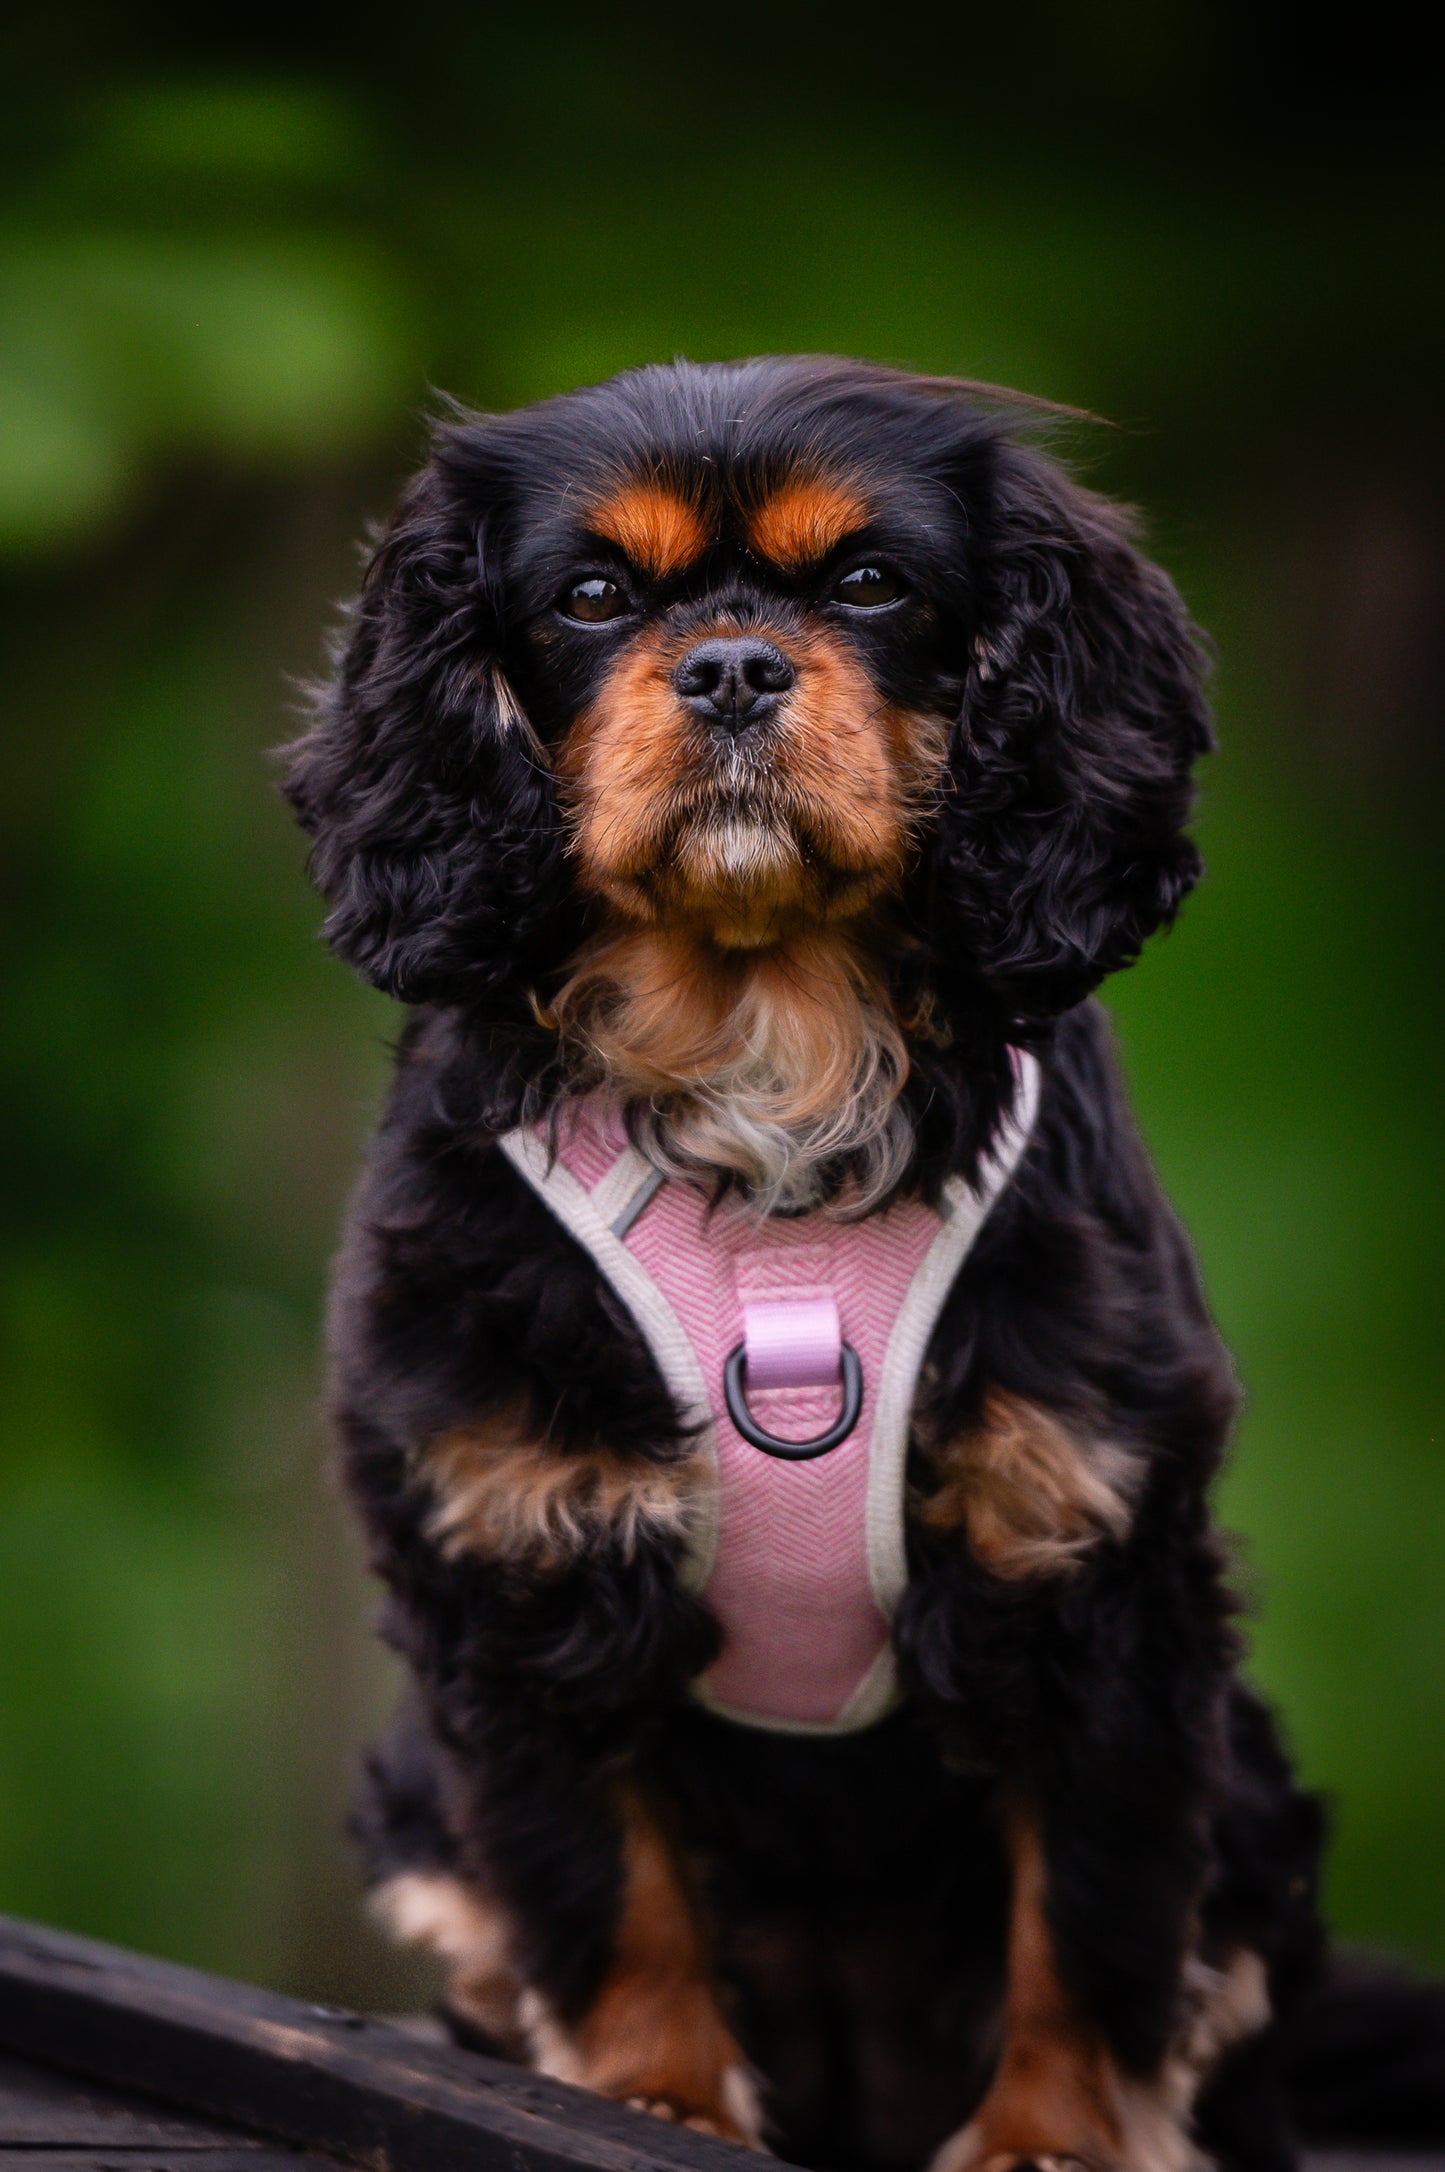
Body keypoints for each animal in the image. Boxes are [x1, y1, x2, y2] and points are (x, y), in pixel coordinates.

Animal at [282, 364, 1364, 2172]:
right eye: (593, 596)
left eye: (868, 582)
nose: (729, 667)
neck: (762, 1050)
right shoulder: (516, 1569)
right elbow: (601, 1889)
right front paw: (650, 2095)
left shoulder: (1098, 1564)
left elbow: (1093, 1911)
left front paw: (1053, 2137)